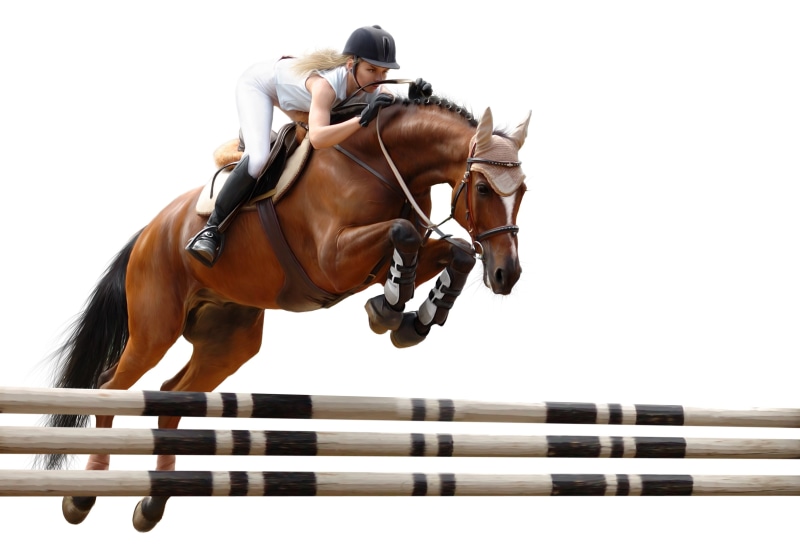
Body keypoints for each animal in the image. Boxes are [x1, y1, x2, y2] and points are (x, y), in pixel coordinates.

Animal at [38, 95, 531, 531]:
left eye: (523, 190)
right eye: (483, 187)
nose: (507, 274)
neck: (380, 161)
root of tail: (150, 230)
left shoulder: (376, 261)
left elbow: (456, 250)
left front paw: (414, 317)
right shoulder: (333, 259)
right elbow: (403, 232)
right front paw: (391, 308)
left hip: (229, 342)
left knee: (171, 397)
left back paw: (152, 504)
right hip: (155, 328)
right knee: (111, 388)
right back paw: (82, 496)